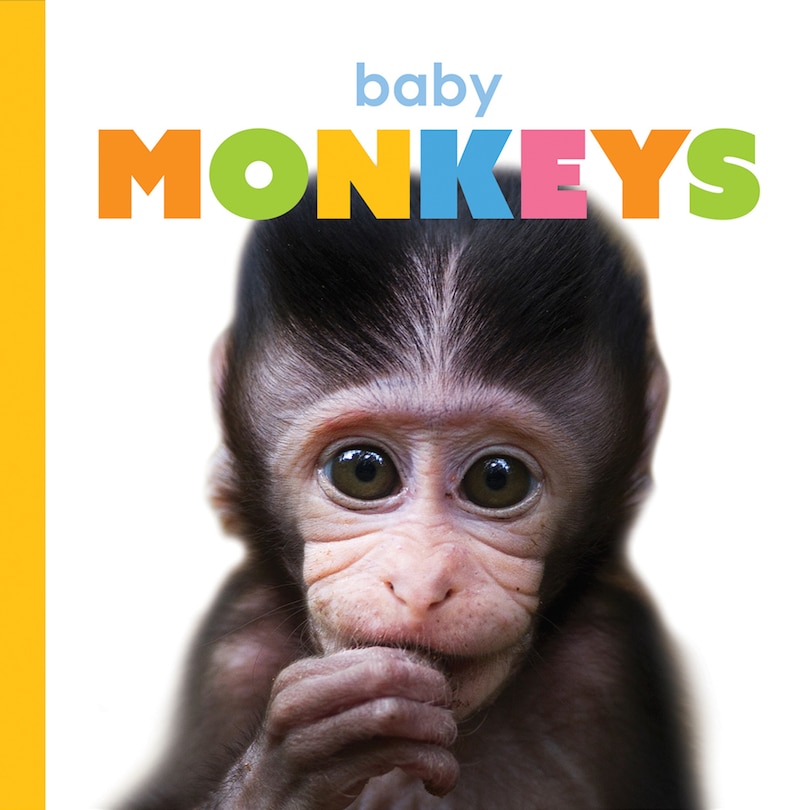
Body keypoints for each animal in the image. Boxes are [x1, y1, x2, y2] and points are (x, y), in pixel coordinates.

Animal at [122, 172, 701, 810]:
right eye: (363, 471)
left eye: (498, 480)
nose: (422, 586)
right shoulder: (234, 656)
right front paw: (295, 759)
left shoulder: (609, 666)